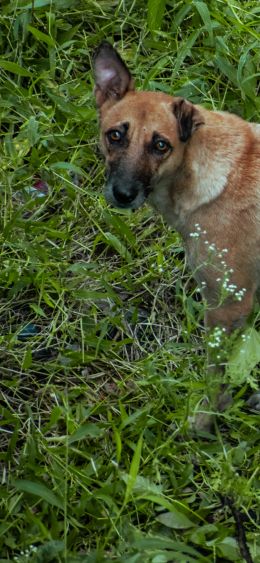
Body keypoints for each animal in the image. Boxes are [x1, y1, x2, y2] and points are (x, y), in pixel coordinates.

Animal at [93, 41, 260, 424]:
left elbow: (216, 377)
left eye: (161, 145)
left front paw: (206, 419)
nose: (123, 194)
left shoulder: (228, 305)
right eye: (115, 135)